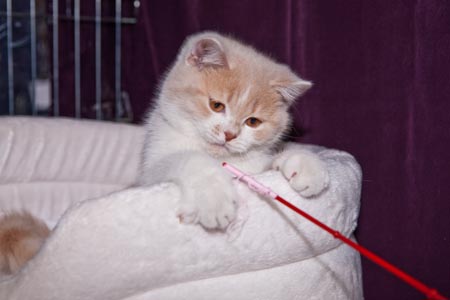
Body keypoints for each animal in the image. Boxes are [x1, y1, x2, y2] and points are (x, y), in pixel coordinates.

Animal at [139, 32, 328, 230]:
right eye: (216, 105)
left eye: (253, 121)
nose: (230, 134)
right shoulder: (148, 175)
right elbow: (186, 159)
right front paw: (213, 198)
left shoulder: (252, 167)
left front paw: (304, 163)